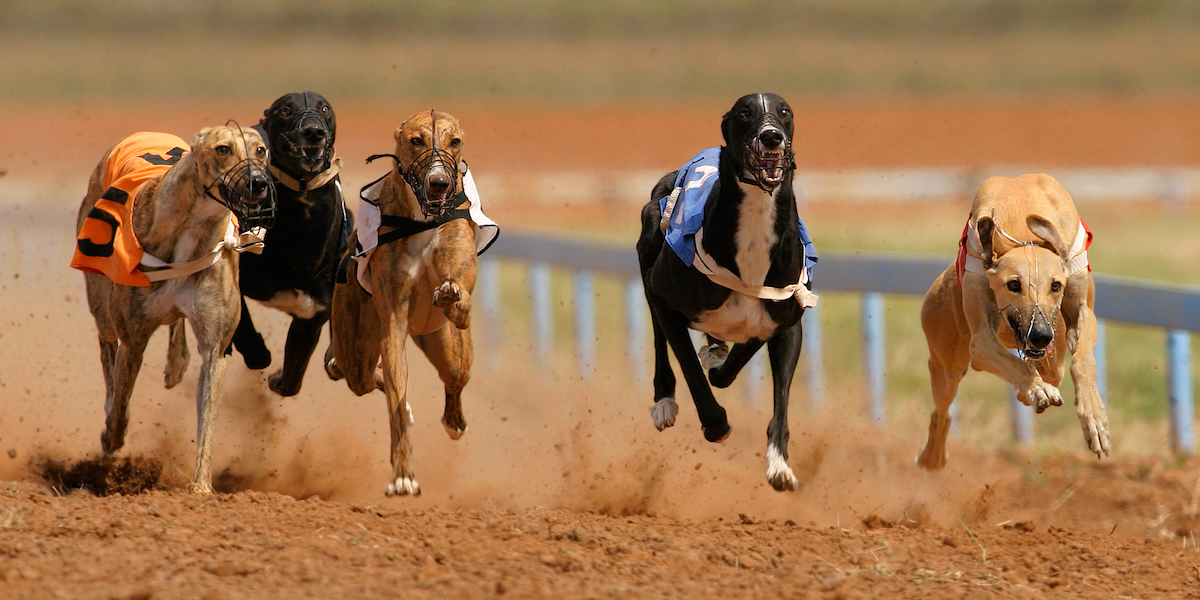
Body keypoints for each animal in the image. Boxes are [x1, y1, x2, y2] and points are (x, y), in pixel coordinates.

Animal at [72, 125, 274, 492]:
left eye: (261, 150)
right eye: (223, 149)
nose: (258, 183)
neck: (193, 230)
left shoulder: (215, 349)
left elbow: (207, 423)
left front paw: (201, 487)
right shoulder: (133, 341)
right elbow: (120, 405)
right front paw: (110, 438)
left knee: (173, 322)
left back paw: (176, 363)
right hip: (101, 303)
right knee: (107, 349)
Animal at [228, 90, 350, 393]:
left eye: (324, 108)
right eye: (285, 110)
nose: (314, 131)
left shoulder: (311, 316)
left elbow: (291, 382)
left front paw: (277, 379)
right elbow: (247, 335)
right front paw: (257, 353)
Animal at [328, 109, 496, 496]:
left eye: (455, 141)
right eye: (416, 140)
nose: (439, 184)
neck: (421, 220)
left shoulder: (457, 279)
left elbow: (460, 302)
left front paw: (451, 299)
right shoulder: (393, 325)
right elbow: (394, 397)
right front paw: (403, 474)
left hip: (447, 346)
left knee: (454, 378)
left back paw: (454, 421)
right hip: (357, 347)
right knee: (365, 375)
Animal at [638, 91, 816, 489]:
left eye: (784, 112)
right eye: (744, 113)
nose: (771, 137)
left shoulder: (785, 320)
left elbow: (758, 380)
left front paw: (779, 465)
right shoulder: (664, 295)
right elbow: (690, 368)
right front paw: (715, 425)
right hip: (649, 245)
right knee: (659, 338)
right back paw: (664, 402)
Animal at [921, 174, 1108, 468]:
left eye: (1056, 285)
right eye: (1013, 285)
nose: (1041, 335)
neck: (1023, 231)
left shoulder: (1082, 310)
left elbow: (1083, 361)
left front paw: (1095, 420)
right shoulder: (982, 340)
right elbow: (1010, 361)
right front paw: (1038, 390)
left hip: (1052, 351)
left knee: (1052, 370)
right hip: (946, 364)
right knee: (941, 411)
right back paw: (933, 456)